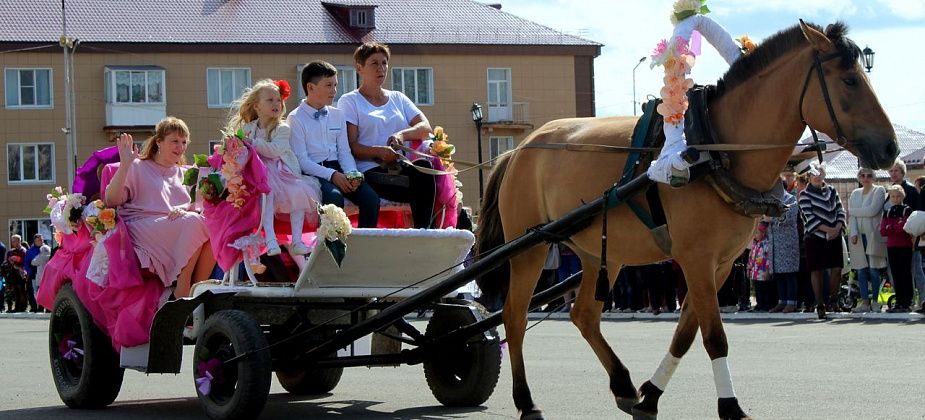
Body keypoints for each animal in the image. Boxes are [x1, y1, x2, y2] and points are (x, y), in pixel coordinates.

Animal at [476, 20, 896, 420]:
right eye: (850, 80)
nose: (890, 148)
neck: (714, 149)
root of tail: (518, 150)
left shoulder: (721, 265)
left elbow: (686, 331)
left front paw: (650, 397)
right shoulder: (696, 260)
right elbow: (713, 336)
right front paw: (729, 406)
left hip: (600, 254)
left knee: (584, 316)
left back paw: (622, 383)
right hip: (528, 250)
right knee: (513, 318)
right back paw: (526, 400)